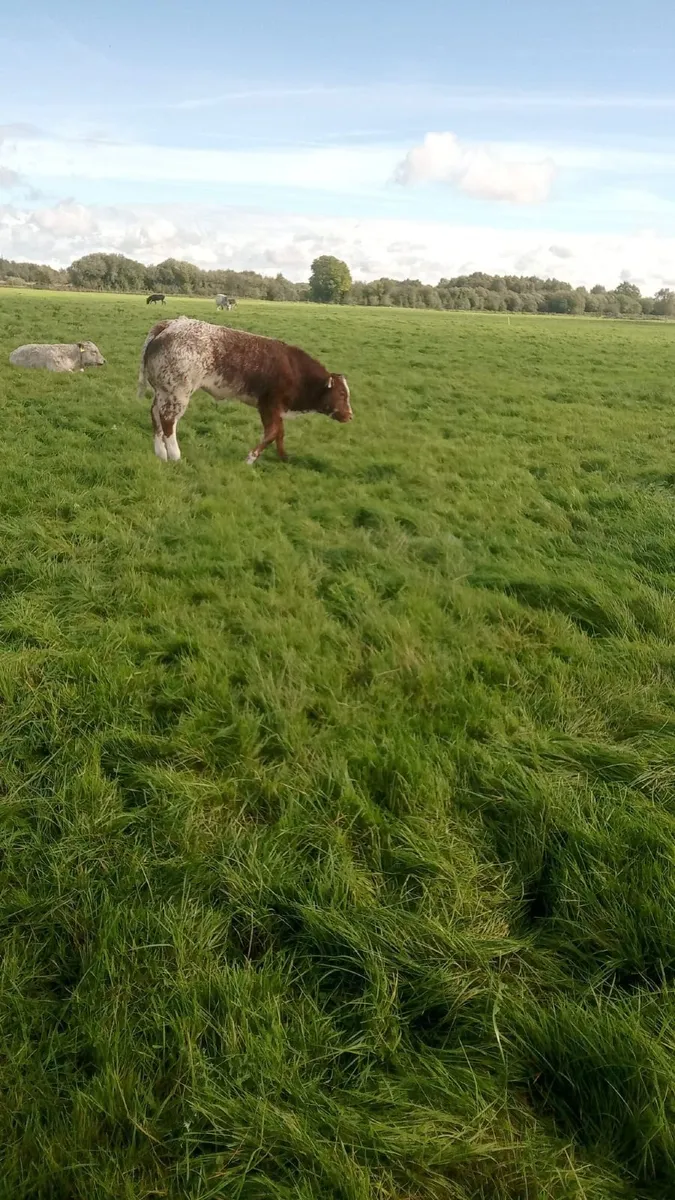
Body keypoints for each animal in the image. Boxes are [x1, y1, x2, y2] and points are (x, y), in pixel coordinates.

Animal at [137, 316, 352, 465]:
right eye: (342, 394)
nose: (350, 415)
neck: (294, 370)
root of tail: (170, 324)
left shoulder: (277, 409)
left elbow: (280, 434)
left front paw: (284, 457)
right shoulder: (268, 405)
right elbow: (272, 433)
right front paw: (250, 458)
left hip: (163, 392)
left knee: (155, 415)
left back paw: (160, 453)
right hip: (177, 394)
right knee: (168, 421)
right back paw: (175, 455)